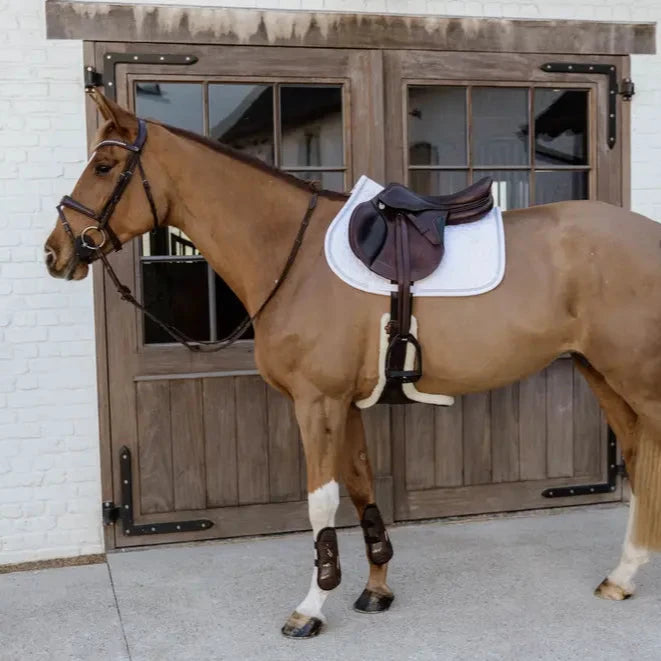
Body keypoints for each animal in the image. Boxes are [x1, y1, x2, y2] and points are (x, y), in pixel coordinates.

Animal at [43, 91, 656, 636]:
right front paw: (376, 588)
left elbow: (321, 502)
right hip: (601, 375)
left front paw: (311, 608)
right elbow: (361, 487)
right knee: (636, 456)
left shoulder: (317, 403)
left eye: (104, 166)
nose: (56, 252)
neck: (294, 258)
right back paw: (622, 576)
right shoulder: (347, 404)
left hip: (635, 380)